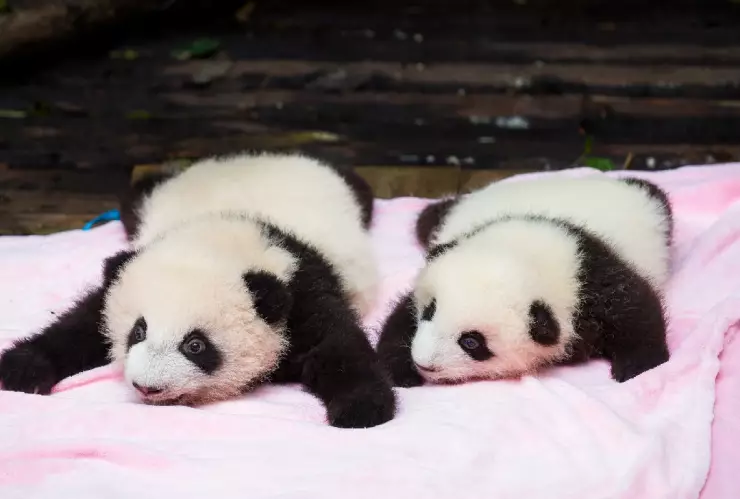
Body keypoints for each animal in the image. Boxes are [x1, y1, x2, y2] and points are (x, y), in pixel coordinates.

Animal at [0, 153, 396, 429]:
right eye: (137, 332)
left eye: (195, 345)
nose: (147, 387)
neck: (226, 230)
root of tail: (254, 157)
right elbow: (80, 327)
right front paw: (21, 367)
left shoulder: (301, 287)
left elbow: (334, 347)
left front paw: (363, 407)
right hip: (151, 199)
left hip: (342, 189)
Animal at [377, 174, 673, 387]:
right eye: (429, 311)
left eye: (472, 342)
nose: (423, 363)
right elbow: (400, 316)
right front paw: (400, 371)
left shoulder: (590, 273)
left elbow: (635, 307)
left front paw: (635, 366)